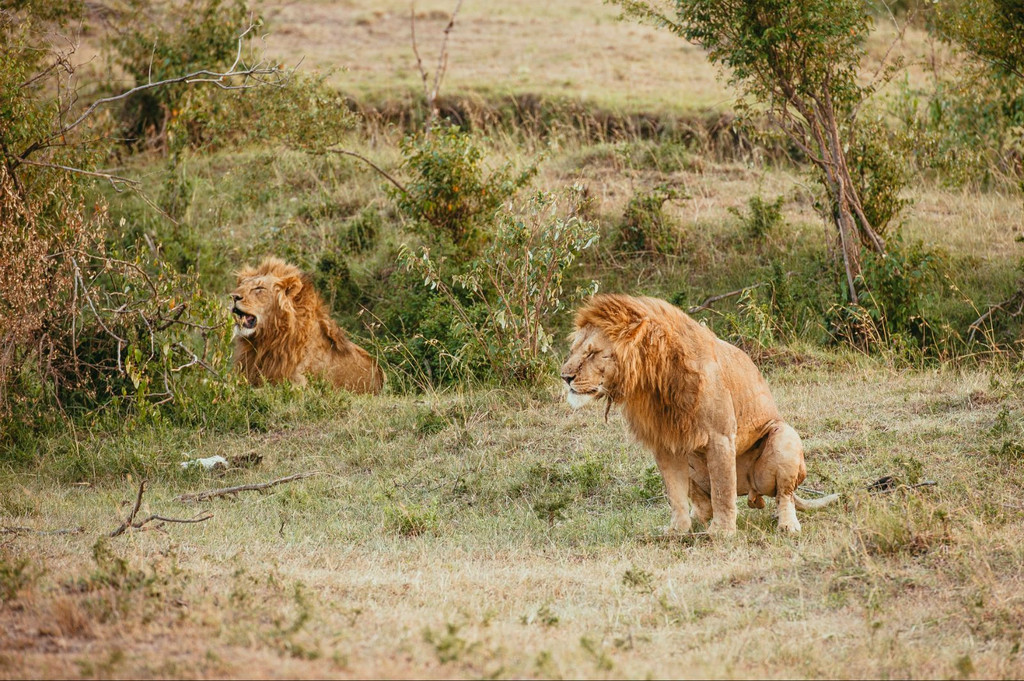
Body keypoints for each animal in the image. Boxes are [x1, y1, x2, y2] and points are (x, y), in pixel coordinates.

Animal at [561, 294, 839, 532]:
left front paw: (723, 532)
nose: (565, 377)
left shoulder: (720, 436)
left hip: (784, 436)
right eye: (573, 351)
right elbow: (675, 494)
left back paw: (787, 524)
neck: (652, 382)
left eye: (593, 353)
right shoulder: (664, 443)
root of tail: (749, 490)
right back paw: (695, 522)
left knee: (784, 495)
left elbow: (723, 490)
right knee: (704, 505)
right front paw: (677, 530)